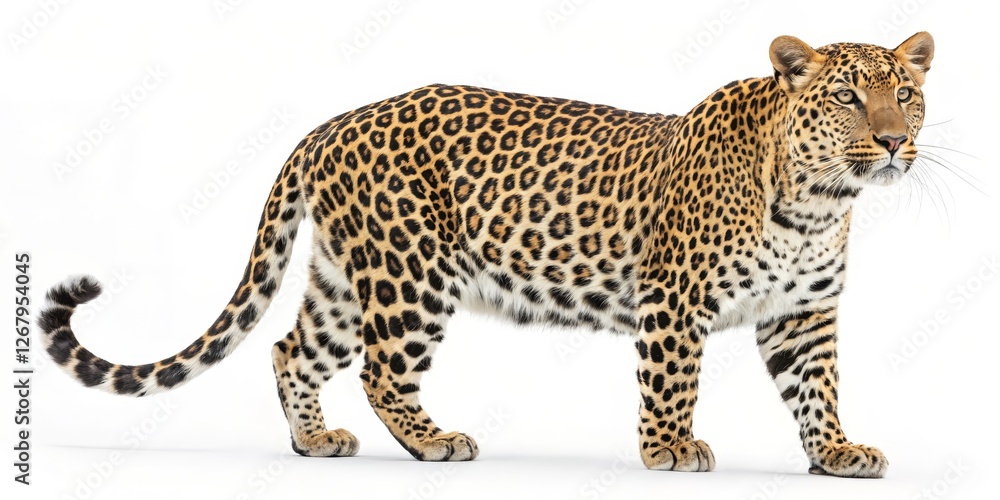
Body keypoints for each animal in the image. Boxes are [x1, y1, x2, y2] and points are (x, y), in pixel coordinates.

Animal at [39, 32, 934, 478]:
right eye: (847, 95)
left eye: (906, 93)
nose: (895, 141)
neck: (818, 202)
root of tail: (331, 123)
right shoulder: (674, 300)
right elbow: (673, 381)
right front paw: (671, 450)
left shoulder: (803, 314)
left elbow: (817, 388)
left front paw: (836, 452)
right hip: (408, 272)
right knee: (380, 370)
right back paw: (432, 441)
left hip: (344, 277)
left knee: (294, 348)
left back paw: (314, 443)